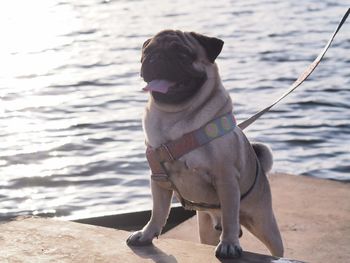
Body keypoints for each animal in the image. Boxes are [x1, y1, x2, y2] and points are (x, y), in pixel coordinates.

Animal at [126, 29, 284, 260]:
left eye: (182, 54)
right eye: (147, 53)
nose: (157, 57)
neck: (175, 116)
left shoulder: (226, 179)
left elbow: (230, 216)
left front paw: (229, 244)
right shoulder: (159, 180)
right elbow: (158, 212)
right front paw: (146, 234)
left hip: (264, 222)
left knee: (269, 242)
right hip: (207, 228)